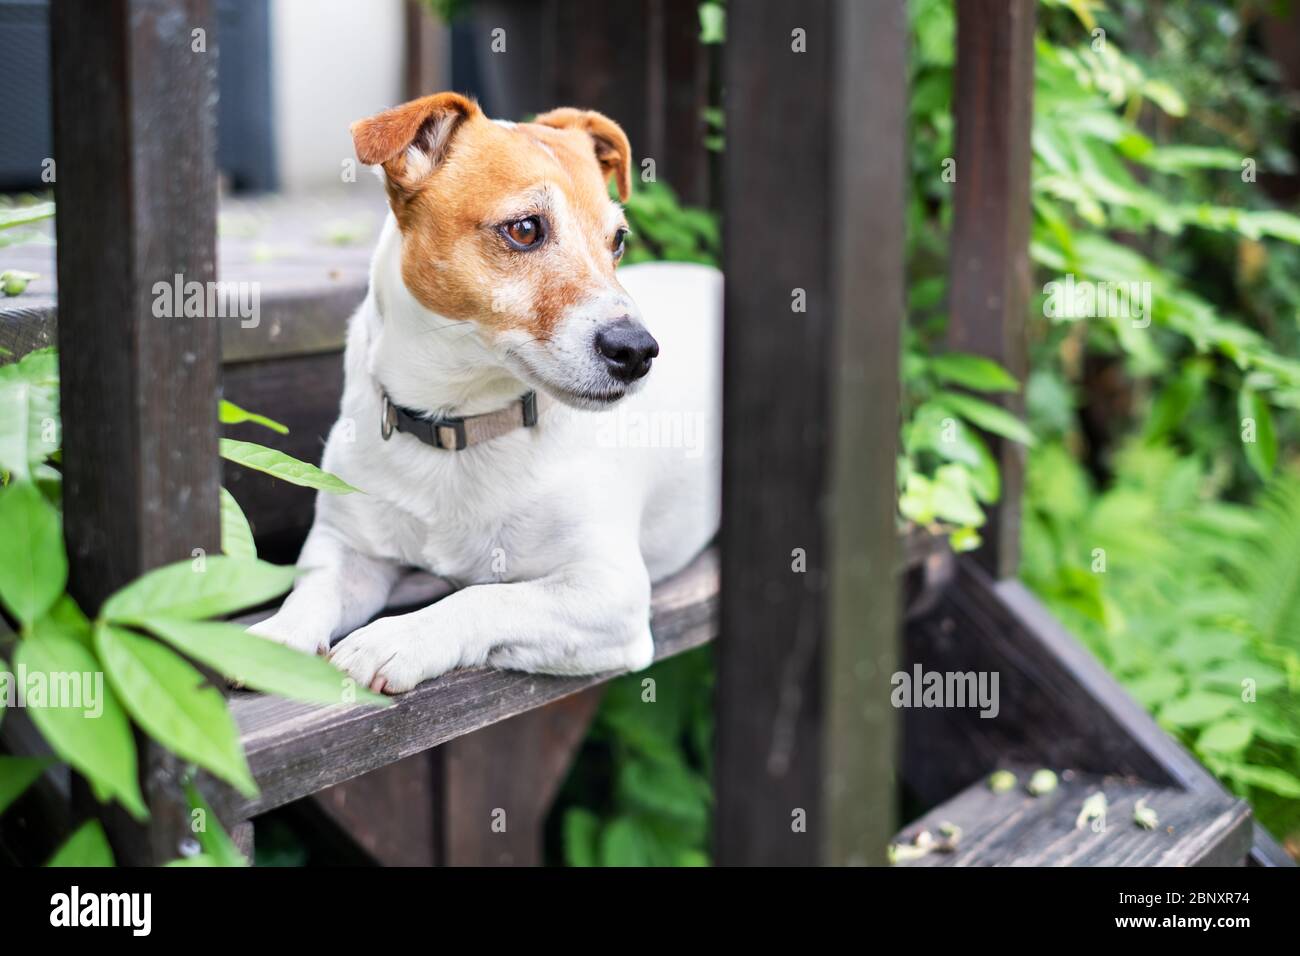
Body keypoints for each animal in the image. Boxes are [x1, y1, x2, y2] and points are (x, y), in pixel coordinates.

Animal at [250, 93, 722, 697]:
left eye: (617, 241)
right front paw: (276, 636)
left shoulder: (608, 592)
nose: (638, 350)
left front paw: (399, 636)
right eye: (524, 229)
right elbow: (313, 590)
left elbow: (484, 596)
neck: (459, 421)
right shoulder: (347, 547)